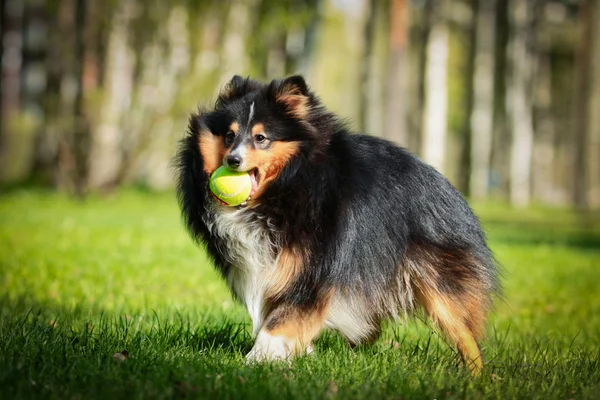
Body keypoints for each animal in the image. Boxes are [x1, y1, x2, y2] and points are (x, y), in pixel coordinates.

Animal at [176, 76, 500, 376]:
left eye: (261, 138)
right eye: (229, 135)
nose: (232, 160)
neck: (289, 184)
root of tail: (450, 190)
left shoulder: (314, 263)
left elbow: (282, 318)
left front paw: (257, 360)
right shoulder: (270, 267)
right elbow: (280, 313)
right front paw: (297, 353)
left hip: (438, 278)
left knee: (463, 330)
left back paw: (477, 375)